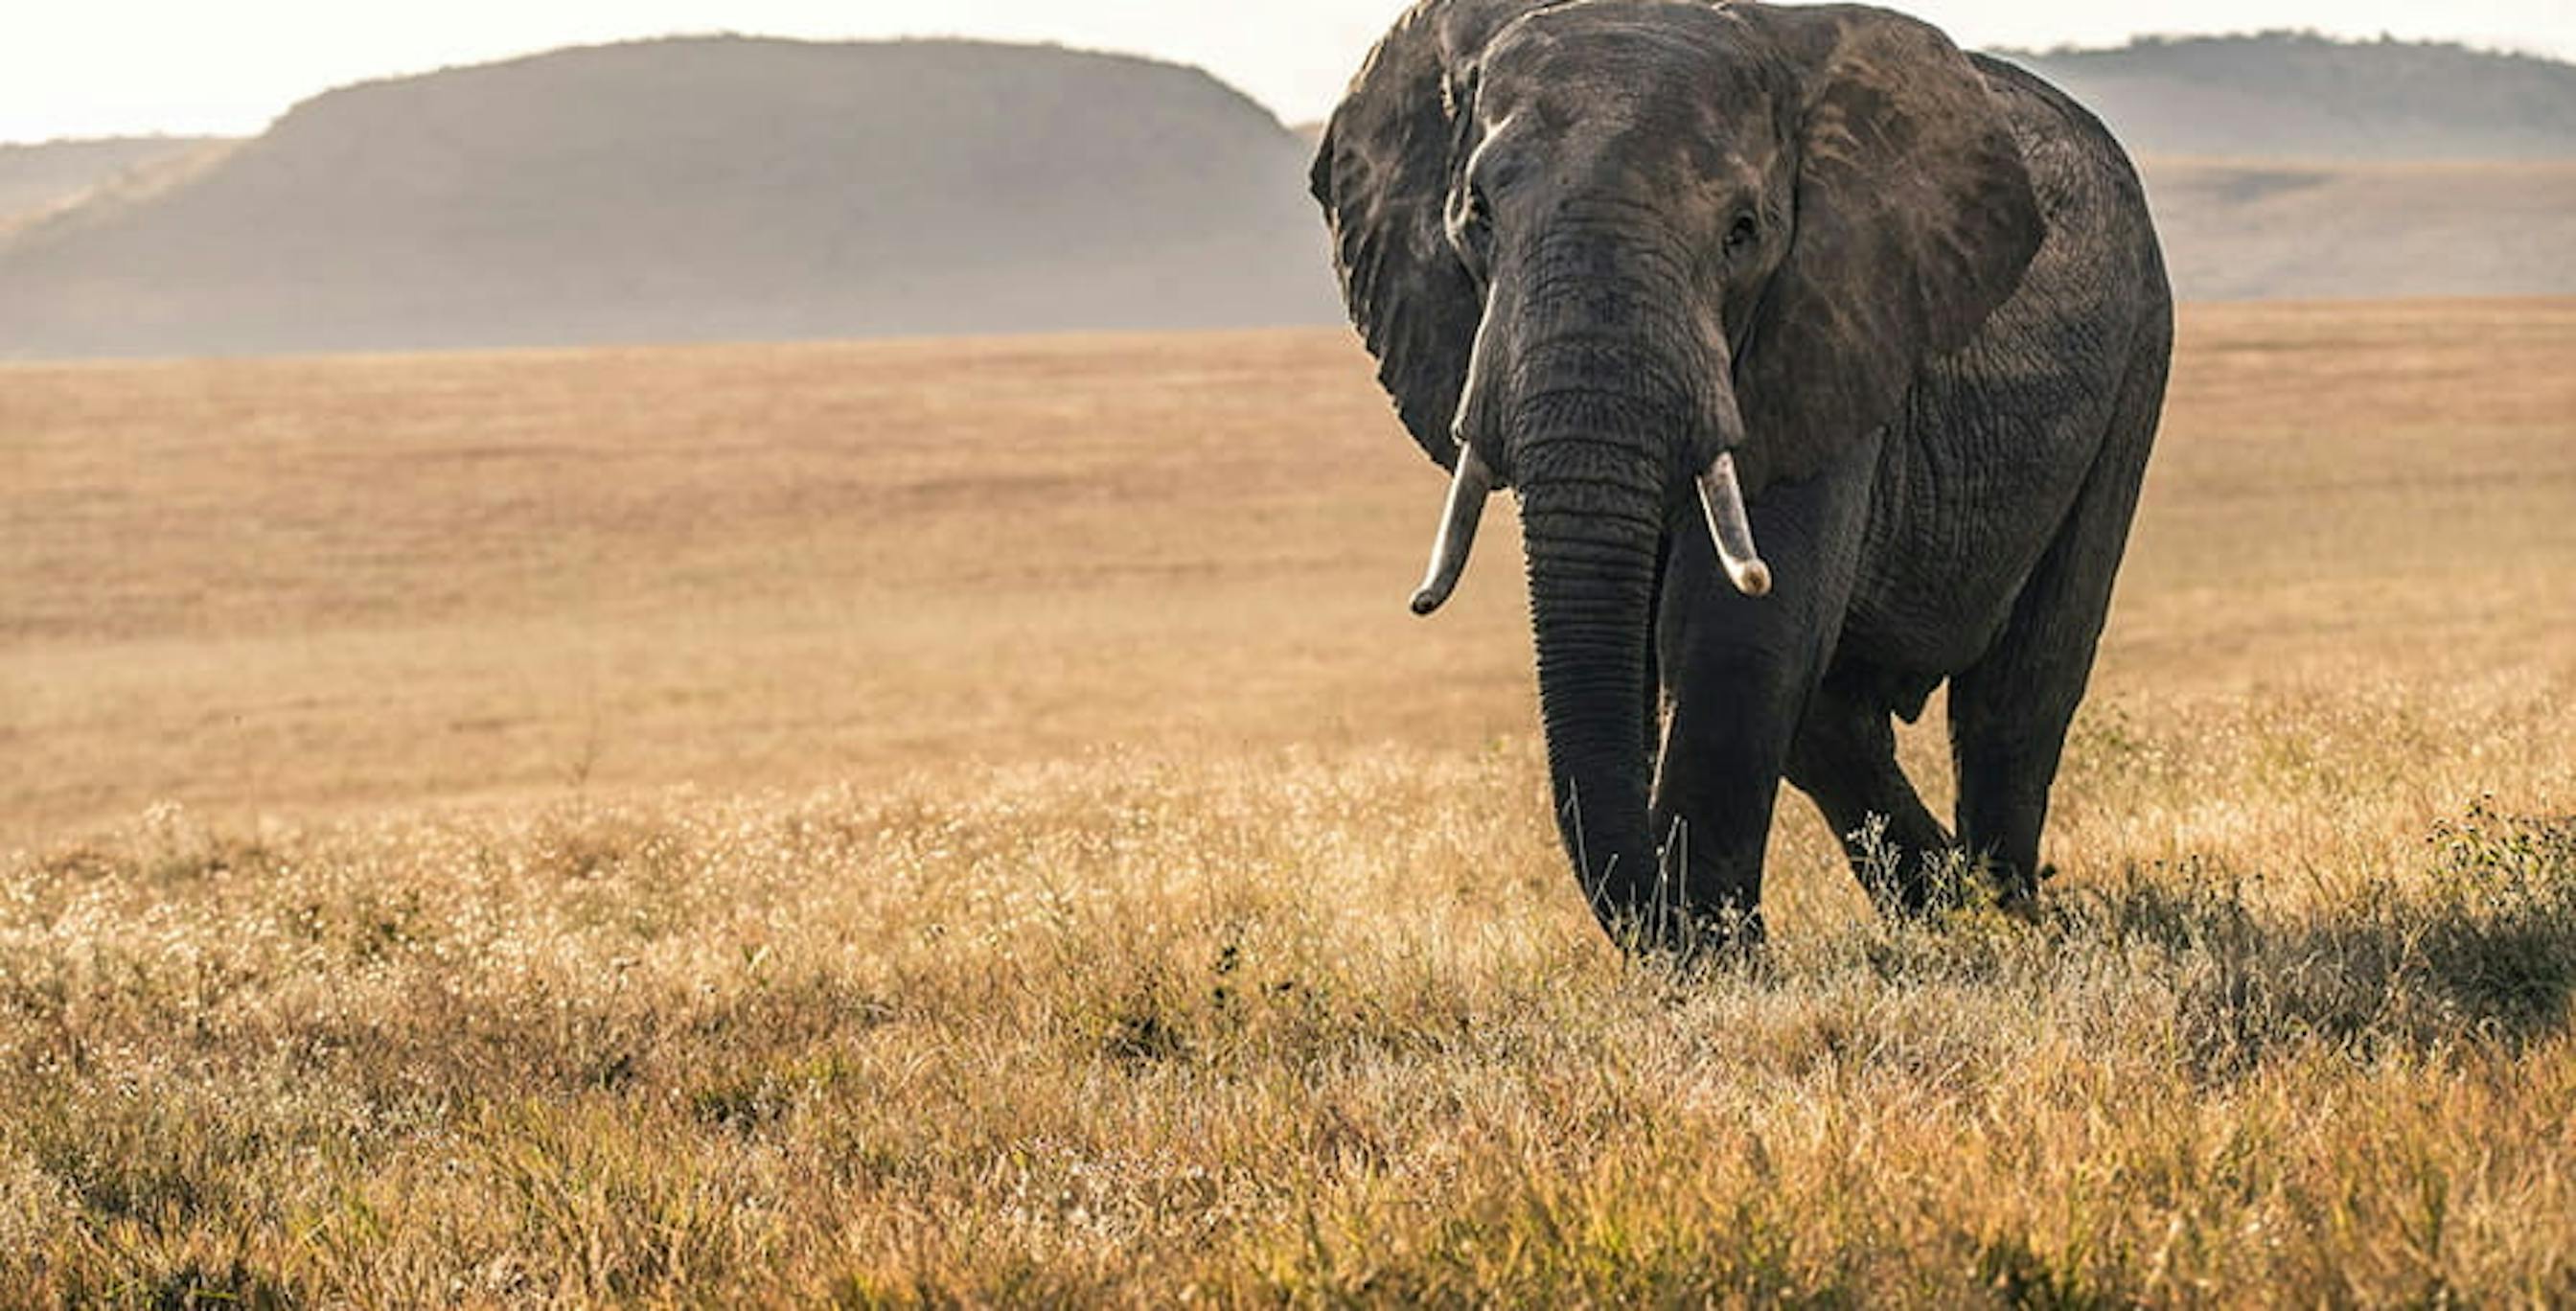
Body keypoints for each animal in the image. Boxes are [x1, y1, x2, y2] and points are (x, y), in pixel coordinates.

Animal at [1310, 0, 2171, 954]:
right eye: (1478, 218)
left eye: (1743, 232)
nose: (1669, 918)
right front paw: (1710, 945)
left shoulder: (1833, 320)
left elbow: (1734, 628)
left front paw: (1718, 958)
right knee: (1837, 721)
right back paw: (1945, 907)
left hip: (2139, 351)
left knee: (2022, 686)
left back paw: (2005, 917)